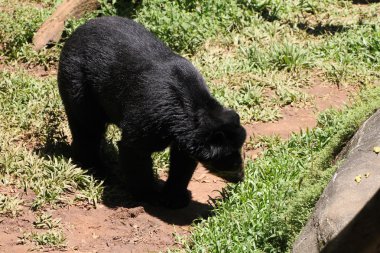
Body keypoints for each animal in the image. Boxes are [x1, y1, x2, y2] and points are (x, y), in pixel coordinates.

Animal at [57, 16, 246, 210]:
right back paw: (97, 168)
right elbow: (134, 150)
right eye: (227, 159)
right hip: (77, 84)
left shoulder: (184, 137)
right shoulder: (149, 116)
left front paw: (175, 198)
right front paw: (149, 195)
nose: (240, 177)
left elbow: (182, 161)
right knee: (87, 126)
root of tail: (74, 33)